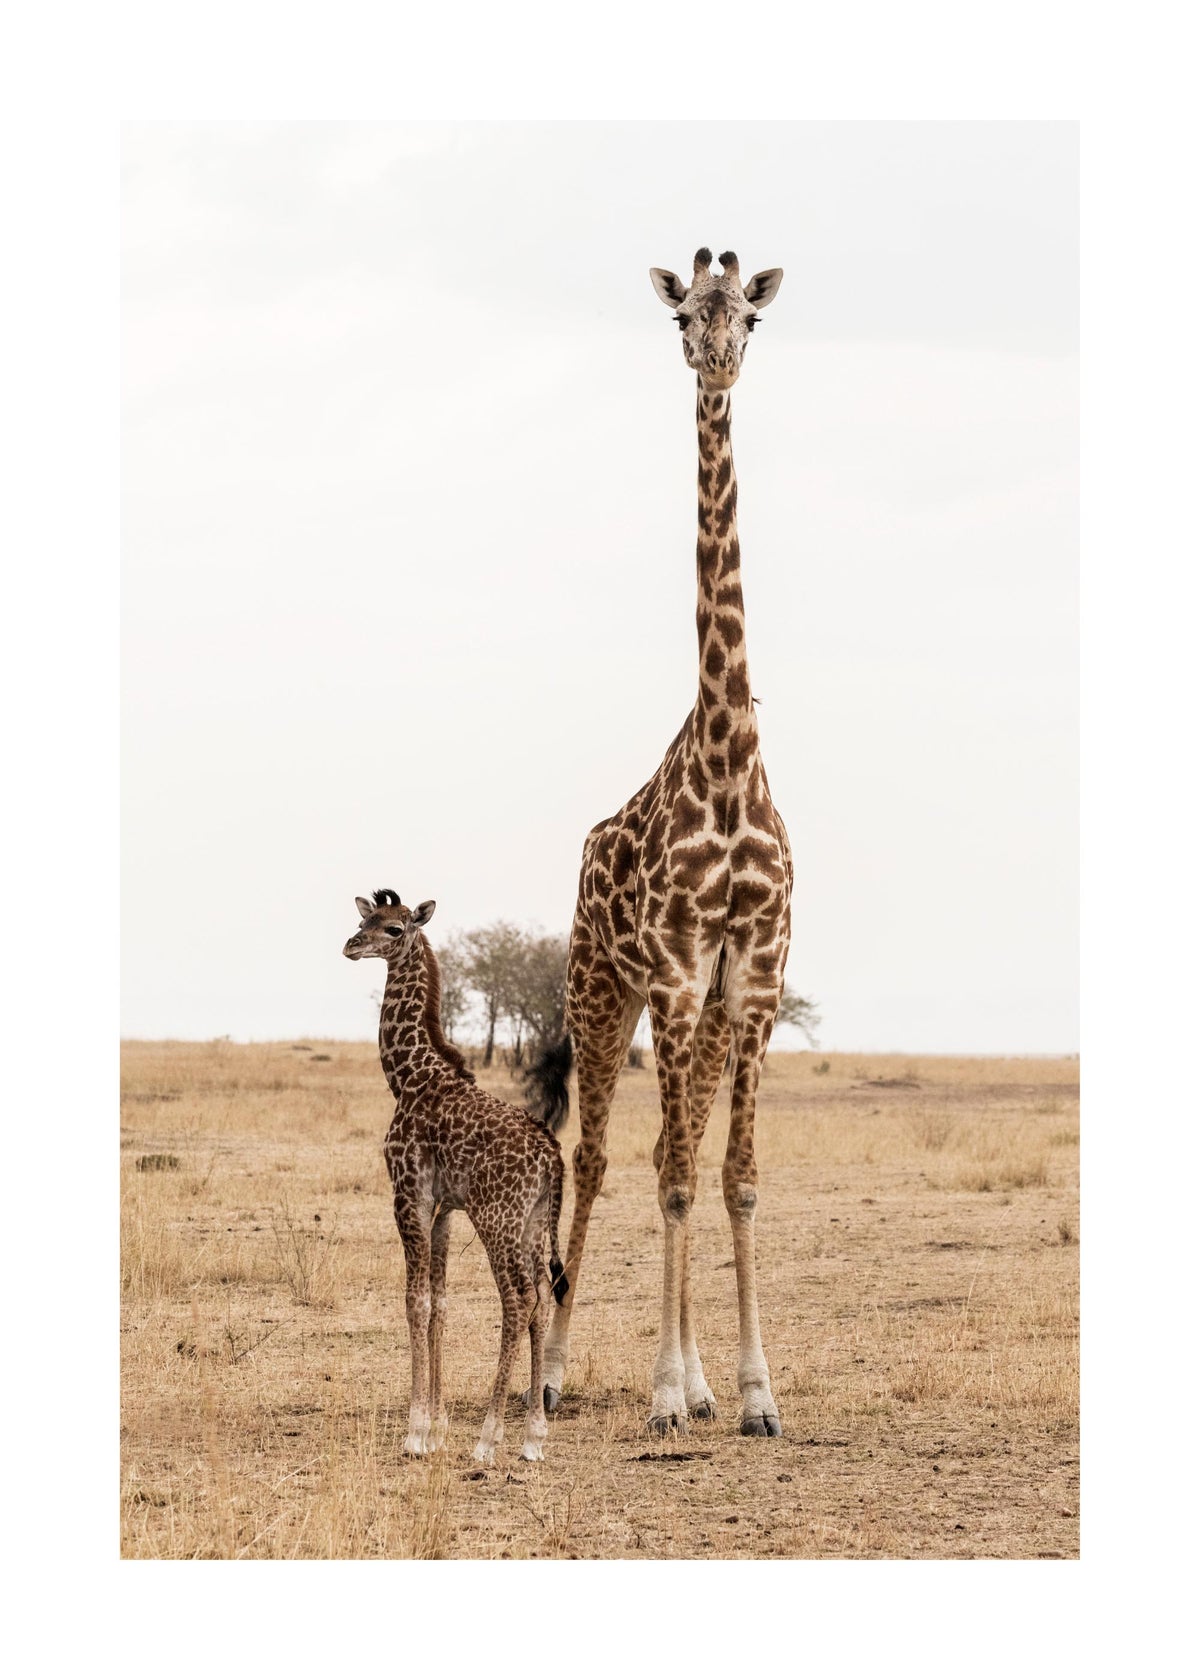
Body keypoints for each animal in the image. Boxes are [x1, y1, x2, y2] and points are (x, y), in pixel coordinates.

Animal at [344, 889, 569, 1464]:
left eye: (394, 928)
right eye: (365, 918)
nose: (350, 946)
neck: (407, 1077)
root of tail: (553, 1157)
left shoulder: (408, 1196)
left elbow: (415, 1301)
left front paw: (416, 1431)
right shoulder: (445, 1209)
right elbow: (441, 1305)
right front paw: (439, 1427)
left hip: (498, 1219)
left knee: (519, 1300)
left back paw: (489, 1438)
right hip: (534, 1222)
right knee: (540, 1299)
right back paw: (532, 1437)